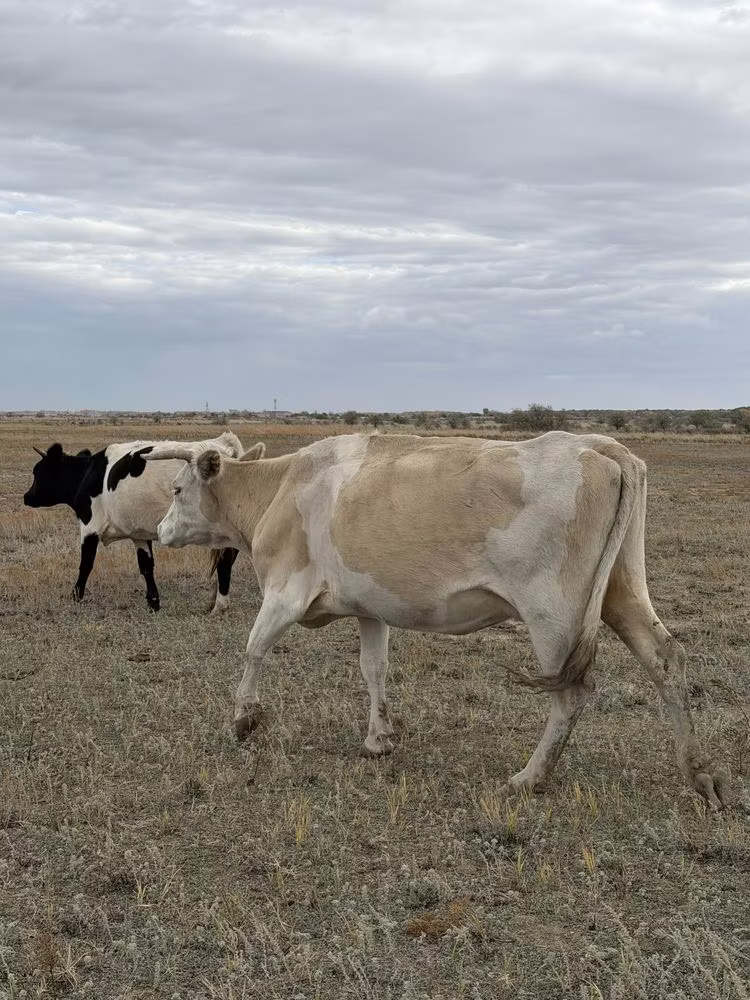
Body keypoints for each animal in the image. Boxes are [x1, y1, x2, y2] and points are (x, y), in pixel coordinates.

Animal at [23, 430, 250, 613]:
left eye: (37, 473)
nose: (26, 496)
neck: (90, 476)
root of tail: (224, 443)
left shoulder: (90, 526)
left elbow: (86, 563)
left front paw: (76, 595)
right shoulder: (139, 534)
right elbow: (146, 565)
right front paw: (153, 602)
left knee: (225, 560)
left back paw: (220, 604)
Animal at [142, 431, 728, 810]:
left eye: (176, 489)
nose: (161, 530)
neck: (280, 489)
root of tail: (603, 447)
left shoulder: (286, 592)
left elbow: (254, 648)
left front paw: (243, 720)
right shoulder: (370, 607)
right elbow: (373, 668)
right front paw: (379, 738)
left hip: (553, 612)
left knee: (571, 692)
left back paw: (530, 777)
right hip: (620, 591)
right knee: (666, 658)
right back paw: (700, 775)